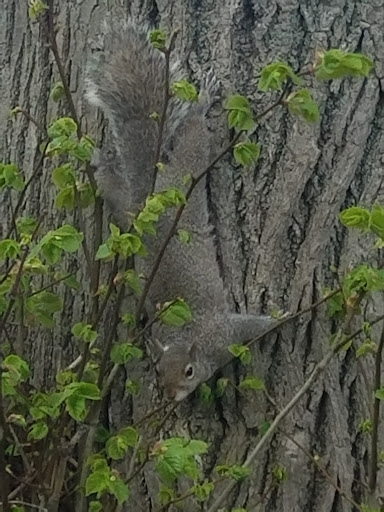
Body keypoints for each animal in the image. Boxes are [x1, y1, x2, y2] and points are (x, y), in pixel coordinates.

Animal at [85, 20, 284, 402]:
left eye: (189, 371)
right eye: (157, 370)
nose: (169, 394)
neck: (192, 340)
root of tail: (149, 197)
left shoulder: (227, 336)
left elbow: (254, 326)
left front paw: (281, 318)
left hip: (187, 170)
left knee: (193, 132)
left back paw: (202, 100)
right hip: (141, 198)